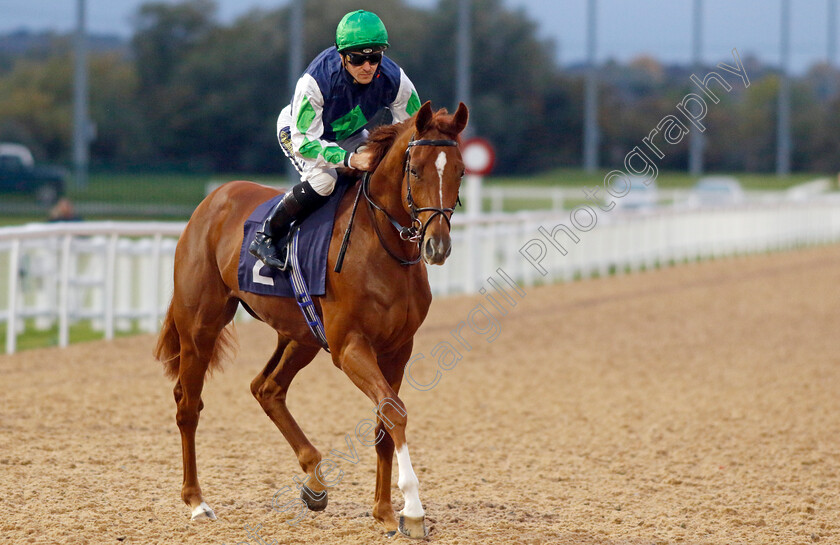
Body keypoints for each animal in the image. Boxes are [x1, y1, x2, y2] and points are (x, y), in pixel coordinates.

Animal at [154, 100, 470, 536]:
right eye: (417, 170)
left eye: (459, 171)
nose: (436, 246)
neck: (381, 247)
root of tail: (213, 199)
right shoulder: (349, 345)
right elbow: (394, 411)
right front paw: (412, 509)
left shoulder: (397, 349)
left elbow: (384, 421)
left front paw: (385, 511)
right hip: (200, 325)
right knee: (189, 404)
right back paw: (197, 501)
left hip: (299, 334)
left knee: (266, 388)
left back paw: (315, 481)